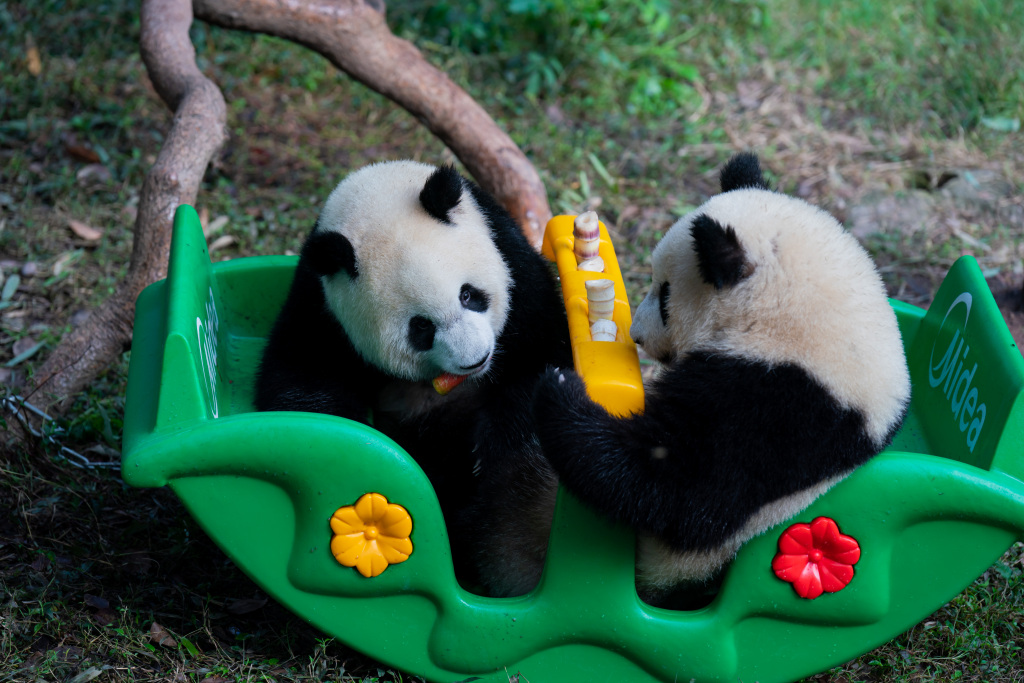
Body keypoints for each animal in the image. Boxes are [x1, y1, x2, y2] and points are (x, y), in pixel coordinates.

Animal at [254, 161, 569, 589]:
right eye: (421, 327)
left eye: (468, 294)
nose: (475, 359)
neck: (375, 193)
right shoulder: (321, 307)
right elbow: (299, 382)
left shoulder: (512, 263)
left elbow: (540, 361)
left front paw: (487, 452)